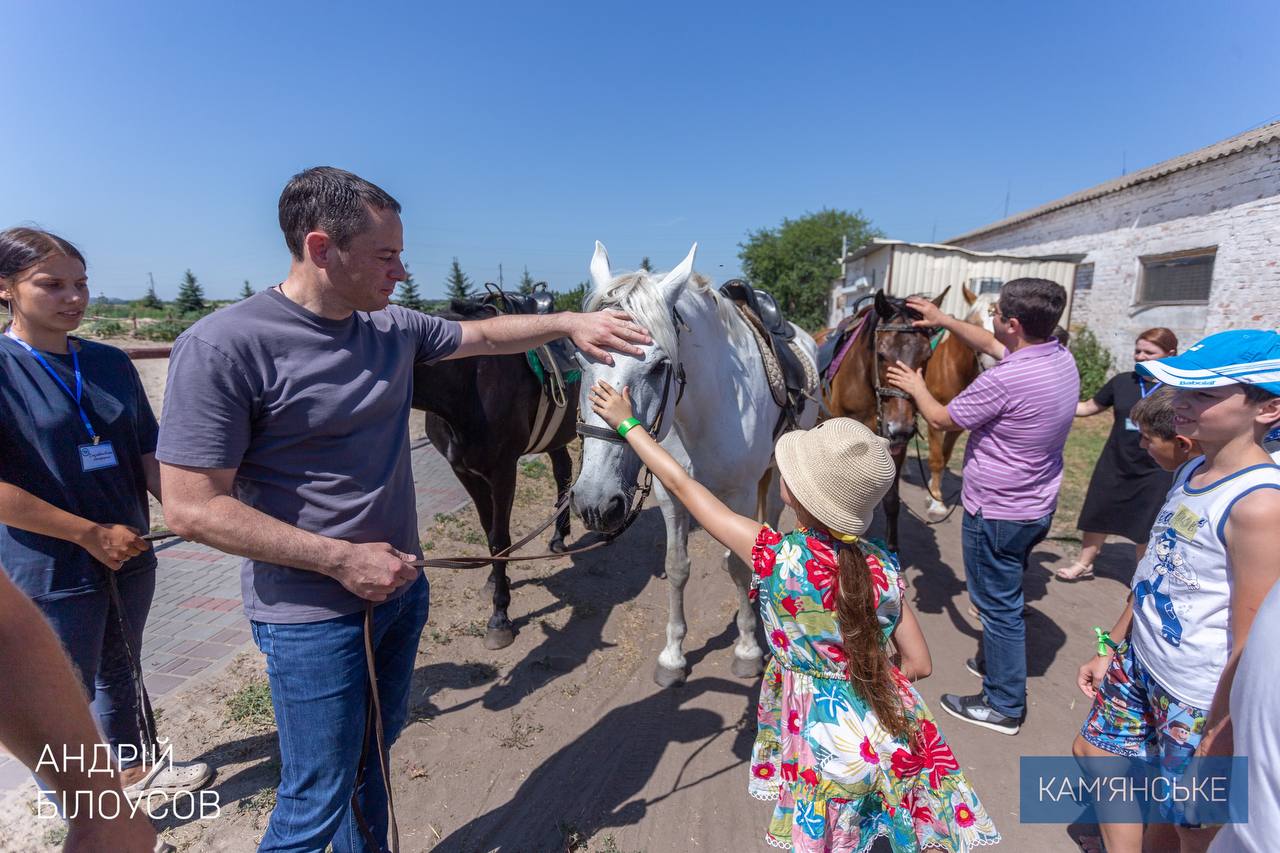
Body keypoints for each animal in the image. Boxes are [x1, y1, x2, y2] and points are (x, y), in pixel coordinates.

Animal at [409, 298, 576, 645]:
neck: (468, 381)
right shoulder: (464, 472)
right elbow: (489, 532)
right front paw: (492, 582)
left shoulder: (503, 471)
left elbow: (500, 539)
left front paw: (500, 616)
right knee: (564, 474)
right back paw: (557, 538)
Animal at [570, 239, 819, 686]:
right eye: (580, 360)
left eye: (659, 366)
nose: (595, 503)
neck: (704, 411)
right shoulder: (672, 495)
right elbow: (676, 567)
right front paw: (672, 657)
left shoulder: (740, 494)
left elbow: (738, 565)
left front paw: (747, 649)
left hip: (778, 468)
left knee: (772, 514)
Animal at [814, 286, 947, 550]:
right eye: (882, 354)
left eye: (927, 357)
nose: (900, 429)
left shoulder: (895, 446)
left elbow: (892, 502)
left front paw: (892, 548)